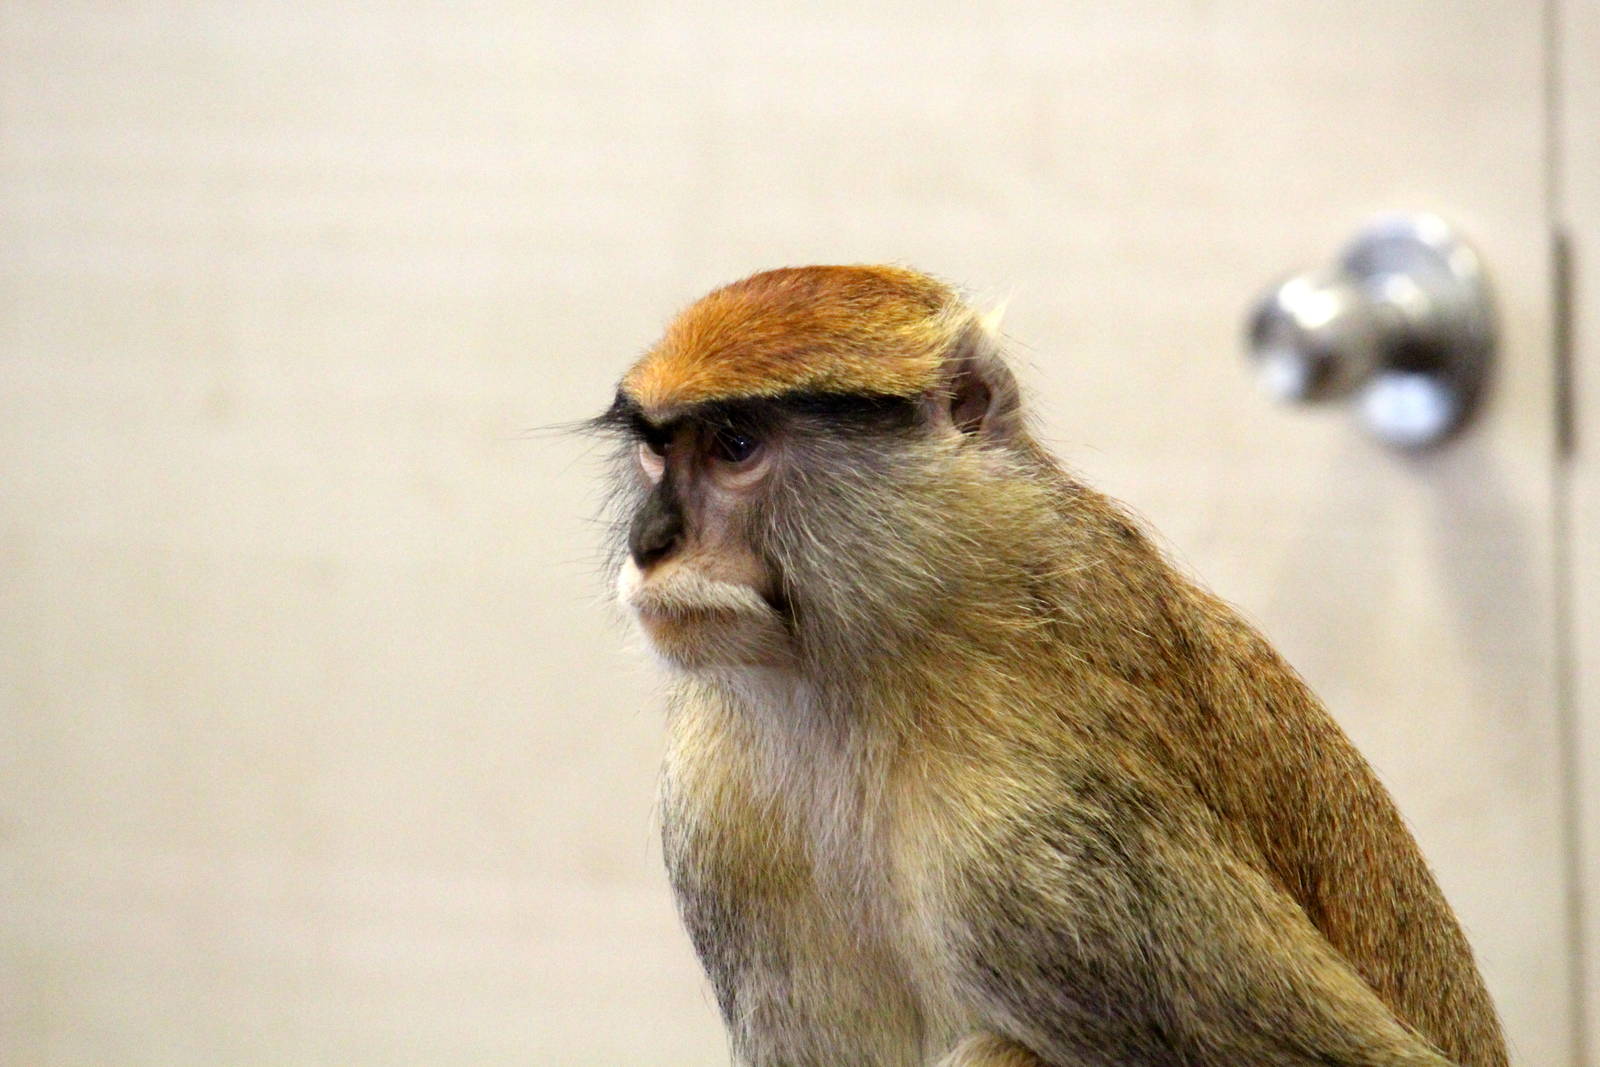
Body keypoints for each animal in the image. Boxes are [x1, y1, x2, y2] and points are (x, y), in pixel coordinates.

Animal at [592, 265, 1508, 1067]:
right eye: (657, 454)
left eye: (735, 444)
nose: (650, 540)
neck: (886, 658)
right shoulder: (718, 815)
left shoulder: (1031, 848)